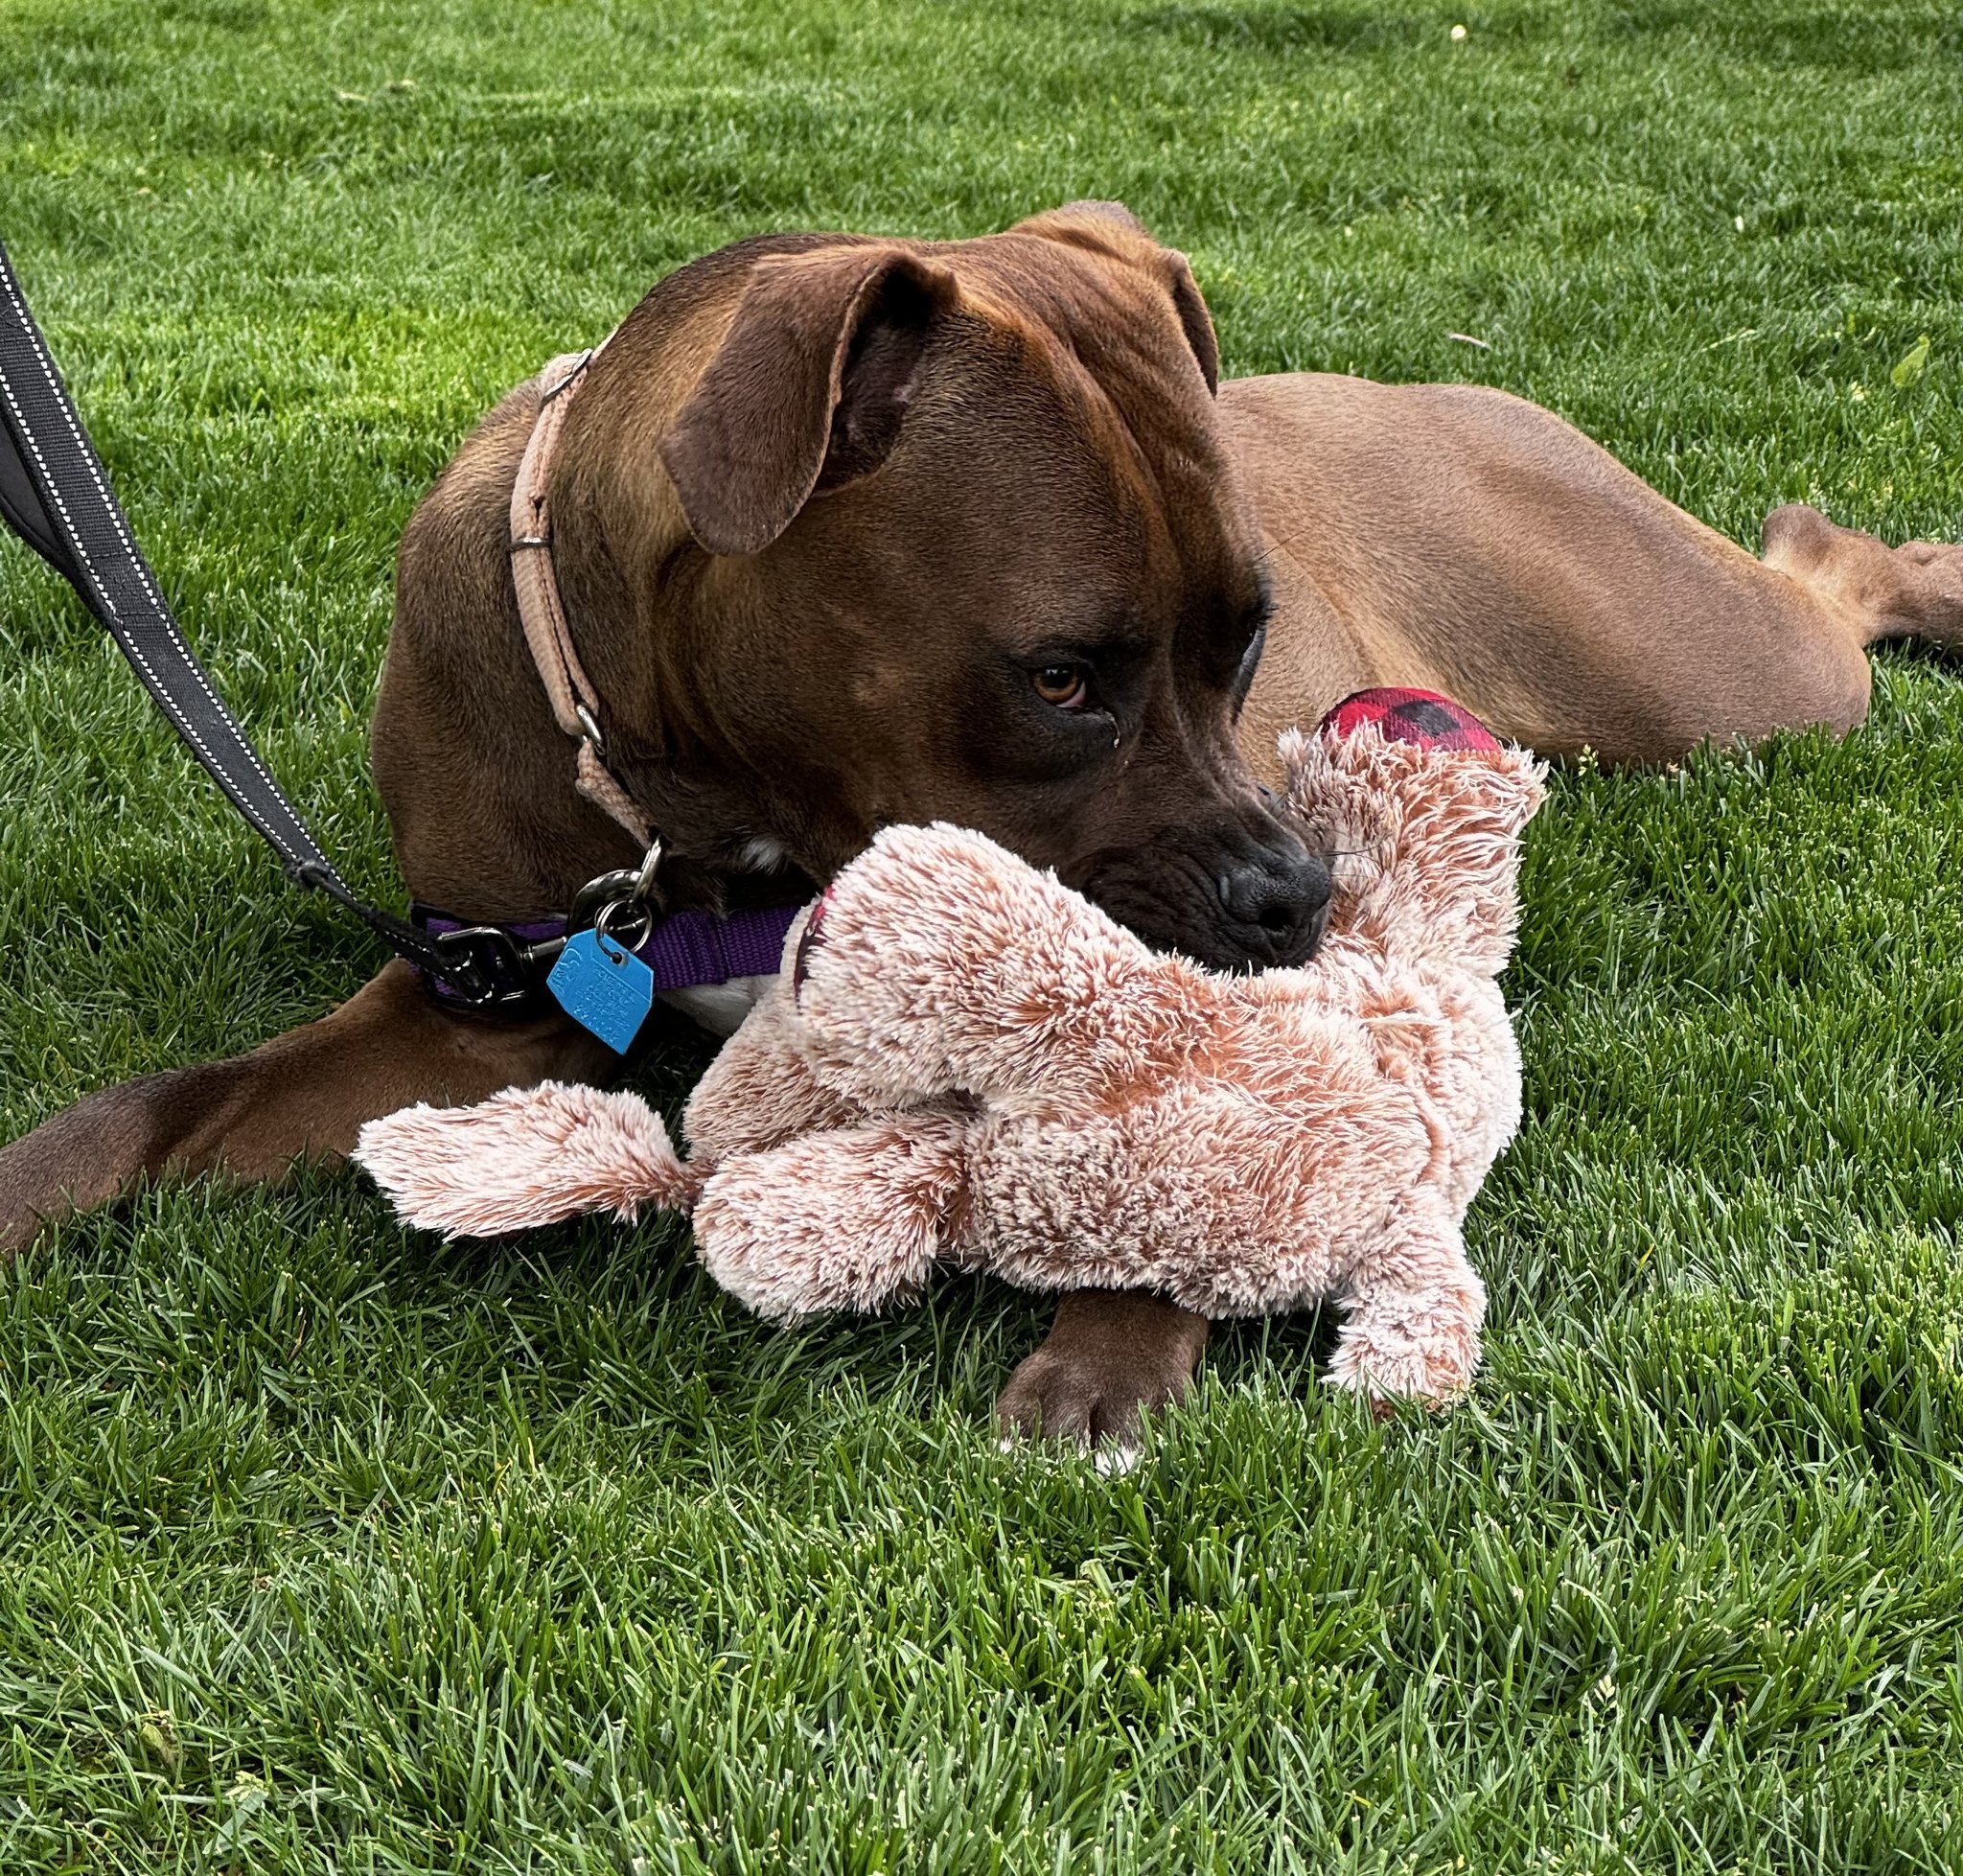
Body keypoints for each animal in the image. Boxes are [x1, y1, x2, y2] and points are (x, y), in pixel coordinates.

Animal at [4, 197, 1963, 1444]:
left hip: (1712, 677)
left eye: (1245, 641)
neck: (704, 801)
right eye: (1060, 677)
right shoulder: (471, 994)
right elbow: (163, 1102)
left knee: (1826, 569)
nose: (1296, 893)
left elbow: (1204, 1154)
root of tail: (1451, 389)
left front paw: (1117, 1342)